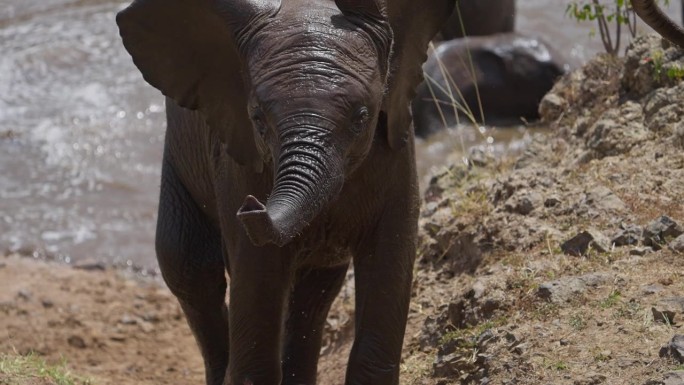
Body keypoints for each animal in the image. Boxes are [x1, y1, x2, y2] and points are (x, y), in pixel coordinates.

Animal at [116, 0, 454, 384]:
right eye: (258, 119)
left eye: (362, 117)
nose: (252, 207)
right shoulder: (240, 157)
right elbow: (256, 271)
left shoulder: (396, 143)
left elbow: (389, 256)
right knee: (190, 268)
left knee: (314, 291)